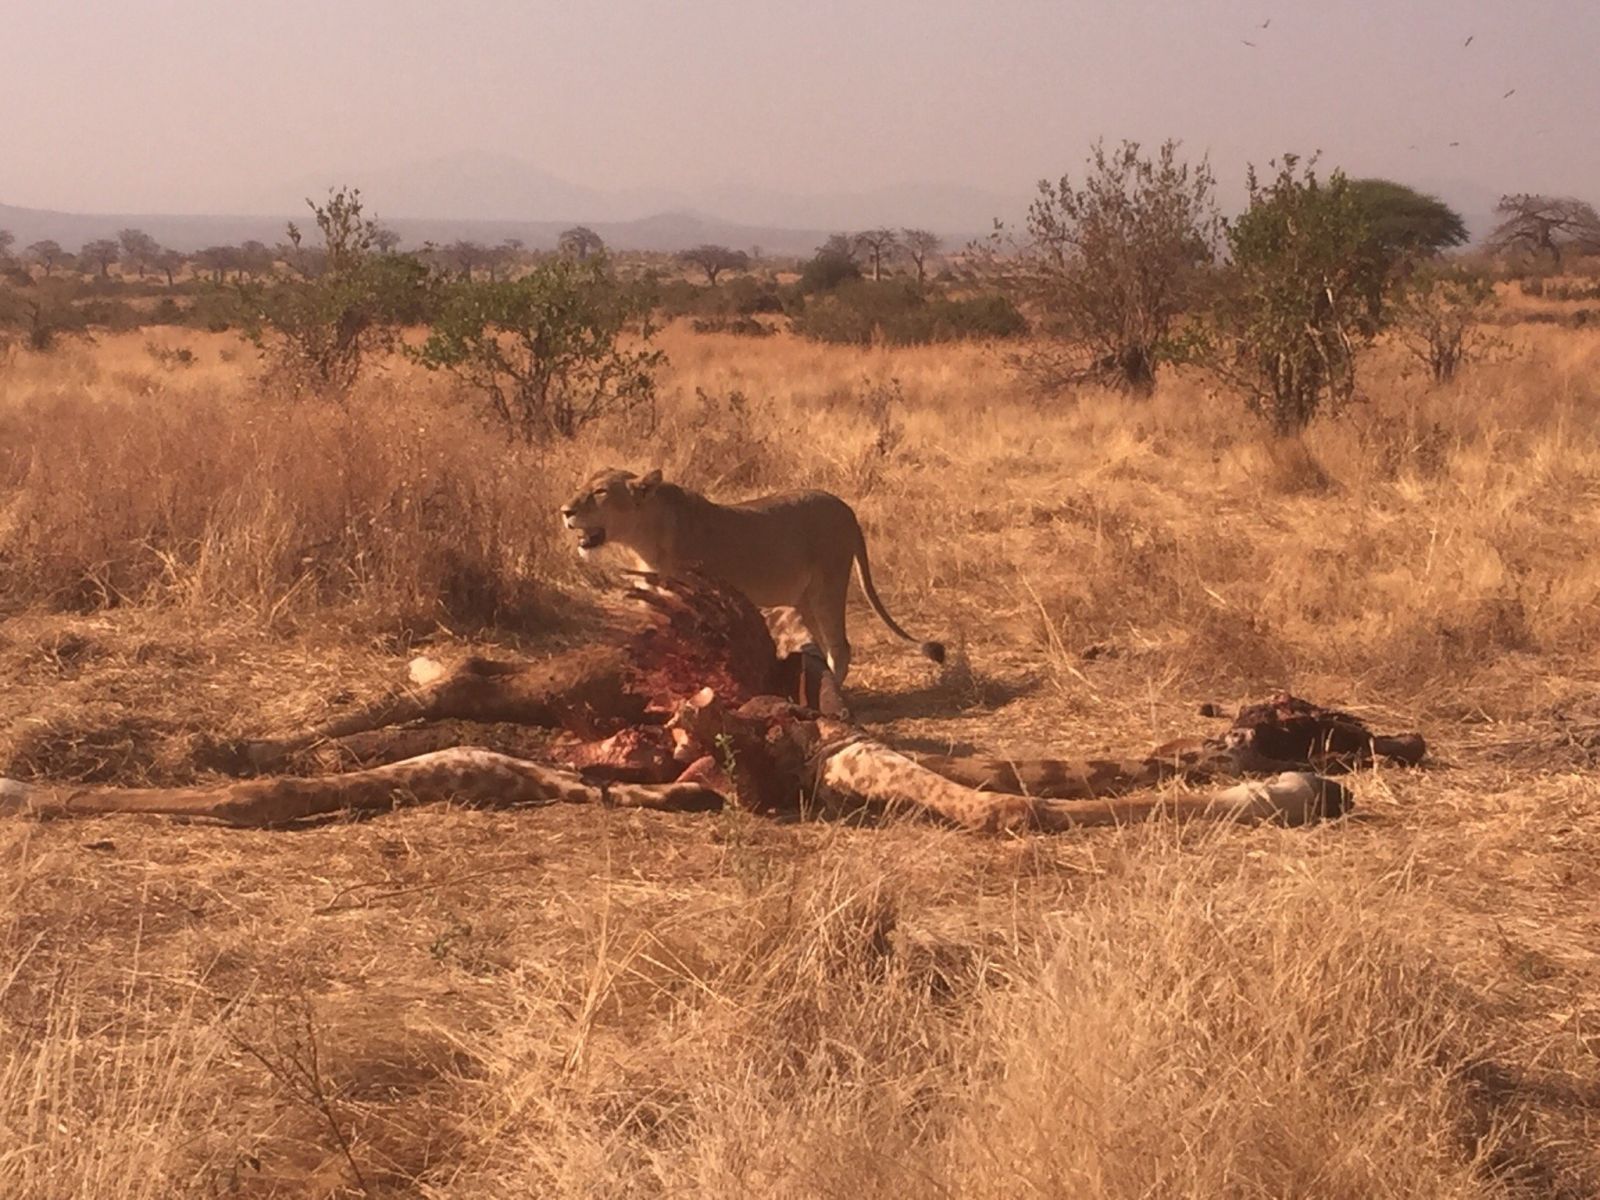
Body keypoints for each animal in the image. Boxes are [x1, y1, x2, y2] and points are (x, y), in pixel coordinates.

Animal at [560, 467, 944, 684]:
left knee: (841, 646)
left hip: (829, 585)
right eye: (582, 486)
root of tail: (846, 507)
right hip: (804, 598)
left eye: (600, 492)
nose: (565, 511)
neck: (642, 542)